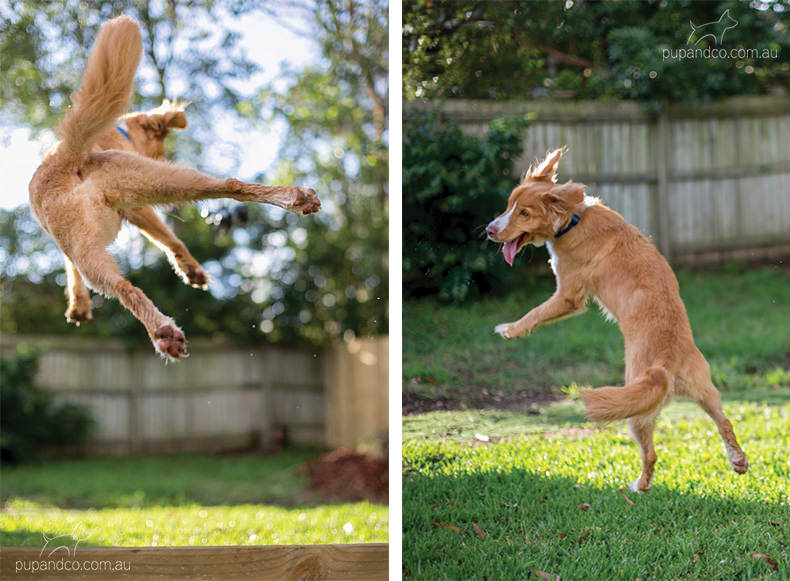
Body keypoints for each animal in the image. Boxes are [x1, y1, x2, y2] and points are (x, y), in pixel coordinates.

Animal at [28, 15, 318, 360]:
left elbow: (167, 240)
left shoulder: (133, 211)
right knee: (229, 185)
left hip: (103, 230)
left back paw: (162, 331)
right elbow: (167, 241)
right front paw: (79, 303)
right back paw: (296, 197)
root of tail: (70, 156)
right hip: (159, 185)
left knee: (125, 286)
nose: (163, 155)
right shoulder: (128, 212)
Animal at [486, 148, 752, 490]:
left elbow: (537, 313)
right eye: (509, 205)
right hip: (706, 392)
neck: (574, 219)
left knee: (651, 454)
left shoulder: (568, 295)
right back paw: (737, 460)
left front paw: (510, 329)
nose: (490, 229)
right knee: (725, 421)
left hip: (636, 411)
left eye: (525, 214)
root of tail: (665, 364)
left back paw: (640, 486)